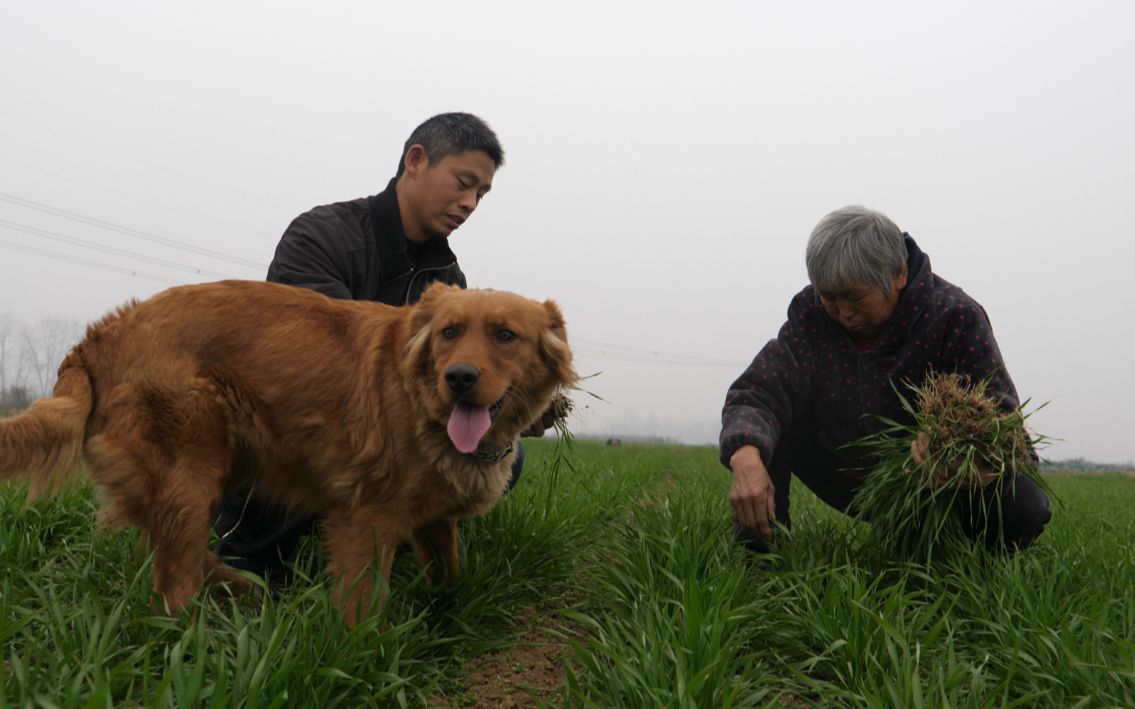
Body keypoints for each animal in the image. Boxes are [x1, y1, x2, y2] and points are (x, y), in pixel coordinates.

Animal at [0, 279, 572, 621]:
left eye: (505, 336)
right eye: (450, 333)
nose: (459, 378)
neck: (420, 396)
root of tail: (98, 337)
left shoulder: (433, 519)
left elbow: (449, 574)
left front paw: (445, 609)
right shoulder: (367, 518)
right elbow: (363, 604)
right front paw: (362, 652)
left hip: (228, 462)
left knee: (156, 547)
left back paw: (242, 589)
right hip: (193, 470)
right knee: (170, 581)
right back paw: (197, 631)